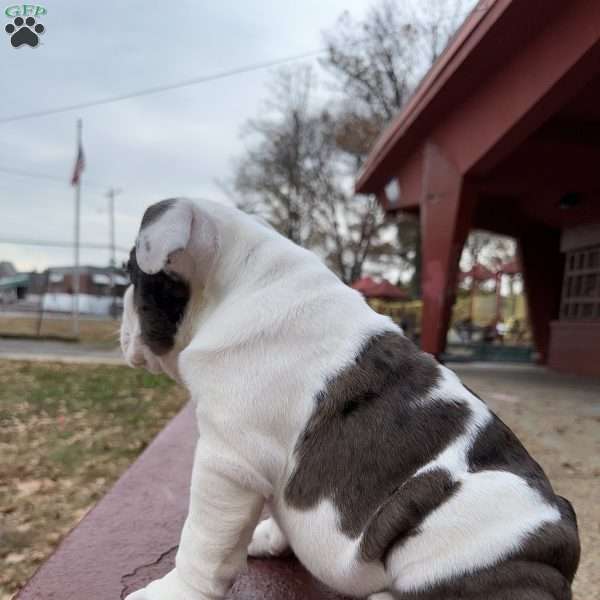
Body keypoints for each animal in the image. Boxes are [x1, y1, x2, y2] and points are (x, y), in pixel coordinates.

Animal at [120, 199, 576, 596]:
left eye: (129, 272)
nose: (122, 305)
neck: (238, 285)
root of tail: (562, 560)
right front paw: (269, 535)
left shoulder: (226, 462)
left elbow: (201, 542)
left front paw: (174, 592)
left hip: (454, 519)